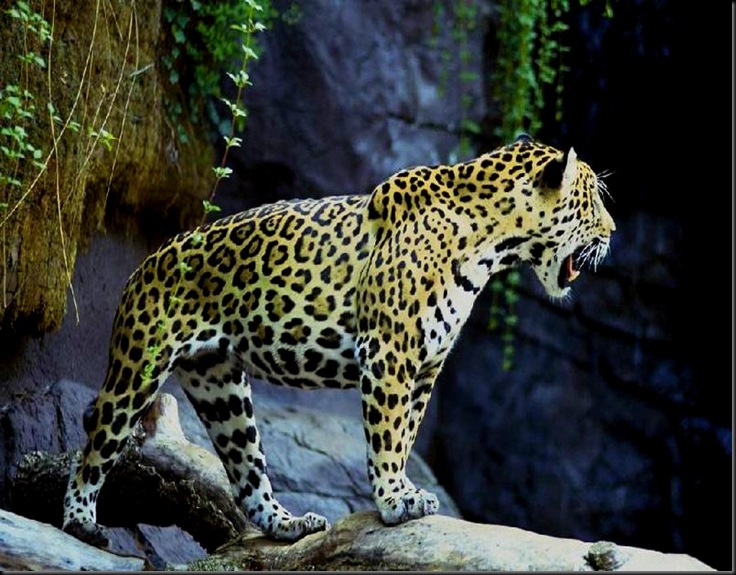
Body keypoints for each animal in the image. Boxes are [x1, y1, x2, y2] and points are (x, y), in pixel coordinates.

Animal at [62, 133, 615, 546]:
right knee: (97, 444)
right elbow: (387, 435)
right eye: (592, 200)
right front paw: (393, 499)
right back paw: (80, 521)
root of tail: (147, 261)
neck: (492, 242)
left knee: (246, 474)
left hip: (222, 388)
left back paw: (288, 524)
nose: (612, 231)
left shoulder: (427, 365)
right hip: (139, 366)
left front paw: (404, 490)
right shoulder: (390, 352)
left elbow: (407, 433)